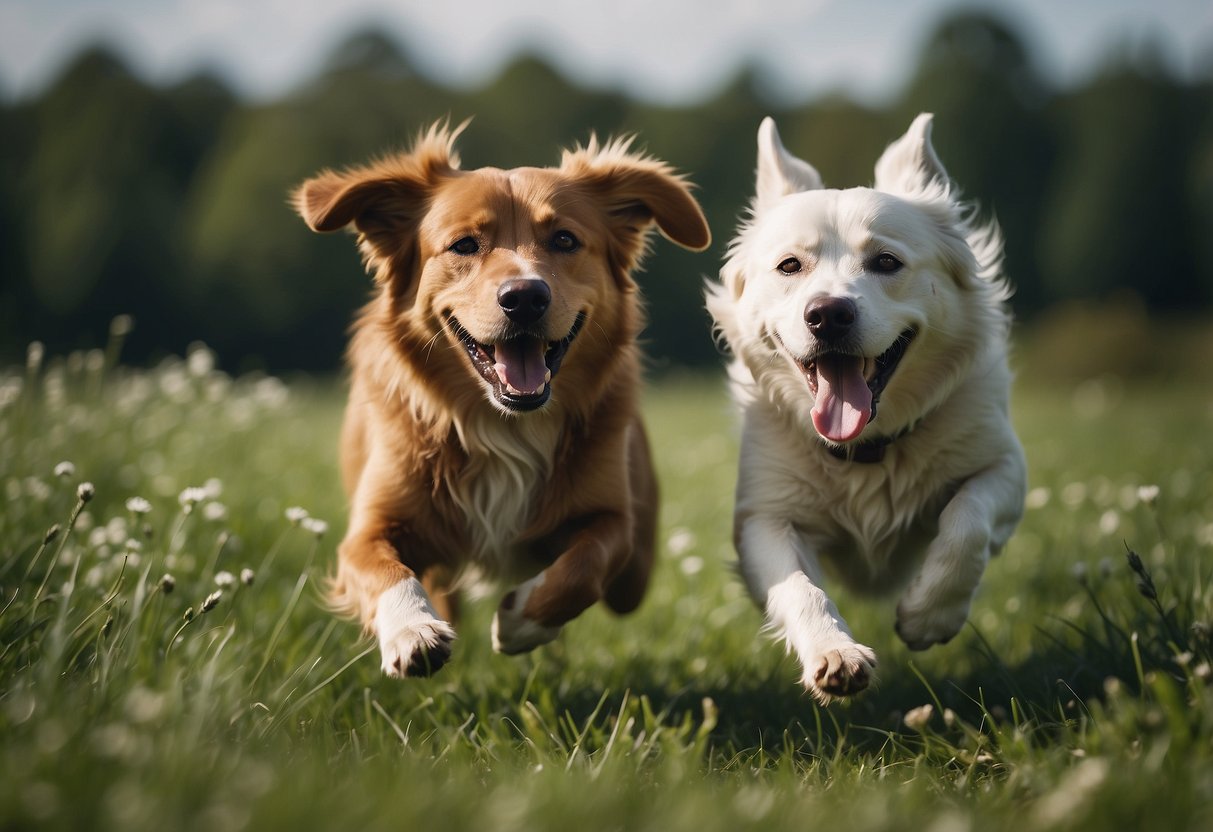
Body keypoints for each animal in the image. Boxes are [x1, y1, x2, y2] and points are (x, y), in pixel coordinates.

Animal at [293, 123, 708, 679]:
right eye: (464, 245)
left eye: (564, 239)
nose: (525, 297)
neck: (503, 425)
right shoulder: (370, 528)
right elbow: (382, 568)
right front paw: (412, 630)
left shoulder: (614, 522)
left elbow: (584, 567)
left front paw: (519, 620)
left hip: (637, 568)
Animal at [708, 114, 1028, 708]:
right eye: (790, 265)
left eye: (886, 262)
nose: (828, 314)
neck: (865, 448)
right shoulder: (766, 518)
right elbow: (799, 588)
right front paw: (835, 655)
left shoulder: (1004, 468)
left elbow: (966, 523)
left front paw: (929, 615)